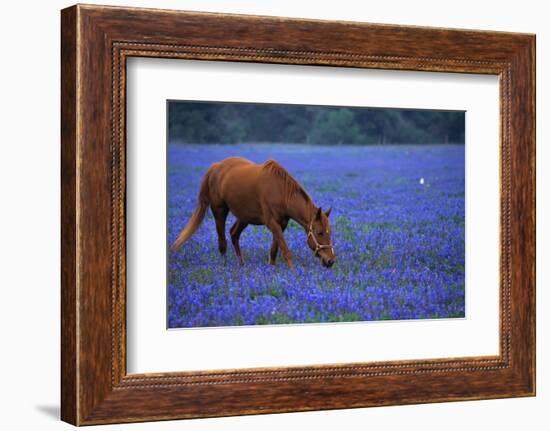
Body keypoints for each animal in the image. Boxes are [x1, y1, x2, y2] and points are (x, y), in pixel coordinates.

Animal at [172, 157, 336, 268]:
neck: (281, 192)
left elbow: (274, 250)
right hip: (219, 211)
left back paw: (241, 265)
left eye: (330, 231)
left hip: (244, 216)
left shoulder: (281, 224)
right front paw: (293, 273)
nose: (330, 260)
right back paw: (225, 268)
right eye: (320, 232)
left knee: (234, 234)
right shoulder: (271, 223)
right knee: (222, 242)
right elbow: (285, 250)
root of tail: (216, 166)